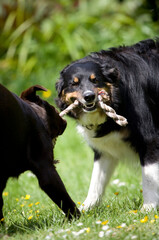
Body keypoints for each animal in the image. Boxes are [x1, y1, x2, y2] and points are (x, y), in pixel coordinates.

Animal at [56, 38, 159, 211]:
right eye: (74, 83)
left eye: (95, 80)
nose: (89, 97)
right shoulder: (105, 149)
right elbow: (96, 182)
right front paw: (85, 209)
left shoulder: (149, 139)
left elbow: (149, 178)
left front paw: (148, 209)